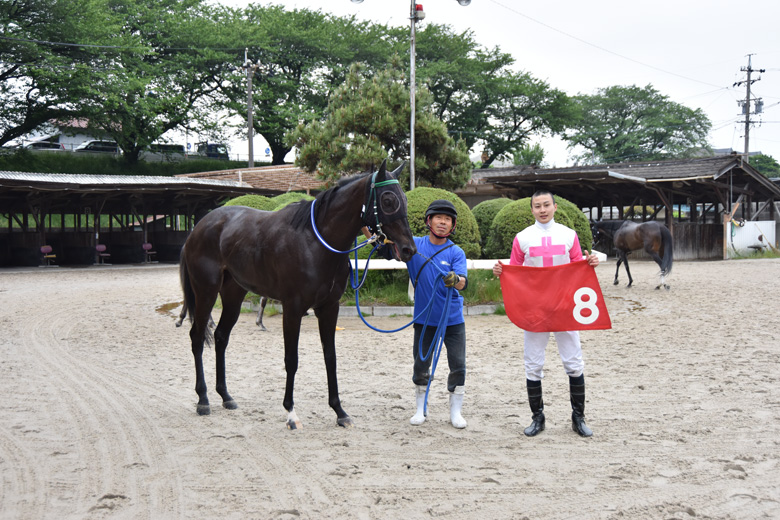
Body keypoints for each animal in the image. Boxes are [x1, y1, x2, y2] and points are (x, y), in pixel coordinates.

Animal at [178, 160, 416, 429]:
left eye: (404, 198)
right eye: (388, 200)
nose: (408, 249)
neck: (315, 243)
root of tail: (198, 228)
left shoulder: (329, 308)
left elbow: (330, 357)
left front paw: (339, 411)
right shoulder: (292, 309)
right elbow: (291, 359)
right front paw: (291, 412)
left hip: (233, 295)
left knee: (220, 337)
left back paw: (225, 396)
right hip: (206, 292)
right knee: (197, 337)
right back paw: (203, 399)